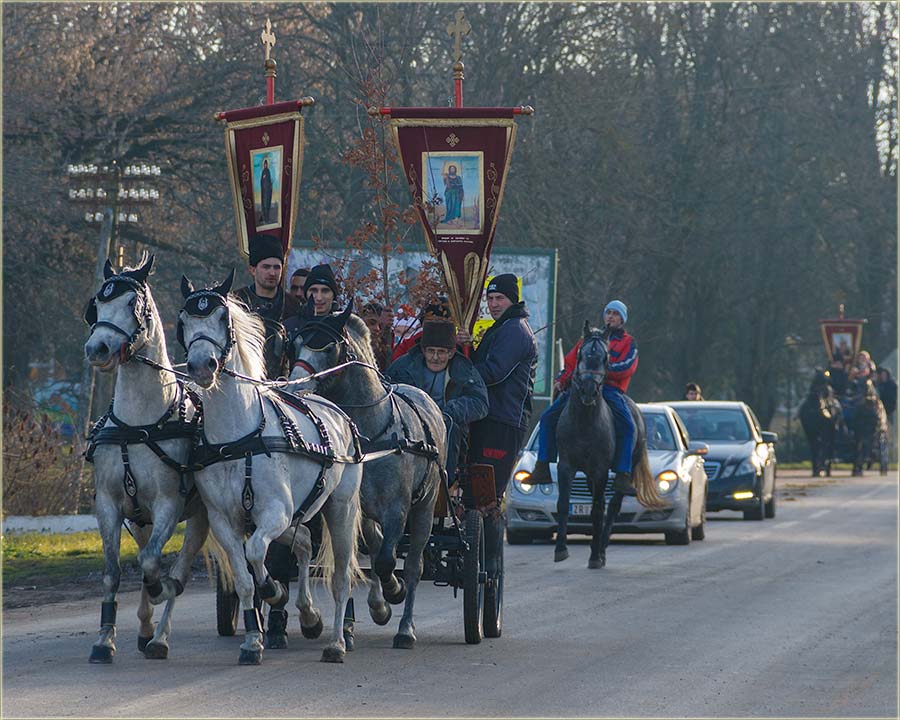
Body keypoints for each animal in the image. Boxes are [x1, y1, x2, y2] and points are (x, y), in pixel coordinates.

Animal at [82, 255, 209, 664]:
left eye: (132, 304)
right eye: (98, 304)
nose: (97, 348)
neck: (139, 424)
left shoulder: (170, 504)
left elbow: (155, 564)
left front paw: (159, 589)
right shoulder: (108, 505)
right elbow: (113, 572)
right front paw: (104, 640)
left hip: (202, 518)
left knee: (179, 571)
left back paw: (160, 636)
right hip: (140, 519)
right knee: (142, 553)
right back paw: (145, 629)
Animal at [178, 272, 364, 668]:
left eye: (223, 318)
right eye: (183, 321)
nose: (202, 366)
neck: (239, 437)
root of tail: (337, 412)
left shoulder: (275, 513)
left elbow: (256, 556)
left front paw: (273, 591)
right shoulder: (225, 521)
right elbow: (245, 575)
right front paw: (253, 640)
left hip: (340, 508)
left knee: (341, 576)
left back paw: (337, 642)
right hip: (298, 516)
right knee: (305, 543)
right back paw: (308, 616)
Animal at [288, 302, 446, 648]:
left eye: (328, 347)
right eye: (296, 344)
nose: (295, 385)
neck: (371, 435)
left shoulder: (397, 508)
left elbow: (388, 560)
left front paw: (394, 591)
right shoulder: (351, 506)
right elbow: (367, 555)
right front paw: (375, 606)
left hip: (425, 506)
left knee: (413, 564)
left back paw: (405, 626)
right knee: (374, 548)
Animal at [552, 324, 664, 568]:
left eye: (606, 358)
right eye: (581, 354)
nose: (588, 390)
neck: (584, 422)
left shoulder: (600, 470)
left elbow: (596, 510)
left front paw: (595, 556)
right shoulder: (566, 466)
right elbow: (563, 503)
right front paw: (560, 549)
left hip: (623, 470)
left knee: (612, 506)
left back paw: (601, 549)